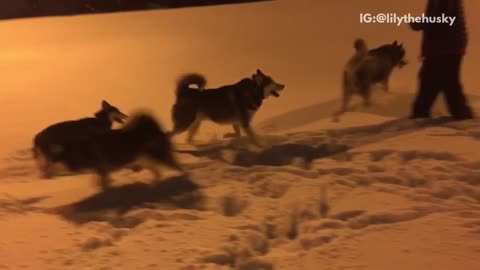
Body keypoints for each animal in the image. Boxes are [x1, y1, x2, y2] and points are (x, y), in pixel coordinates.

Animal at [39, 112, 185, 190]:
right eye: (66, 161)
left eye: (71, 158)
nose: (73, 168)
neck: (83, 148)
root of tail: (154, 127)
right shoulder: (101, 170)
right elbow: (100, 182)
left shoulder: (102, 168)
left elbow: (104, 183)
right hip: (145, 160)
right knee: (158, 173)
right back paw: (153, 186)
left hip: (159, 157)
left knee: (176, 167)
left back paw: (181, 180)